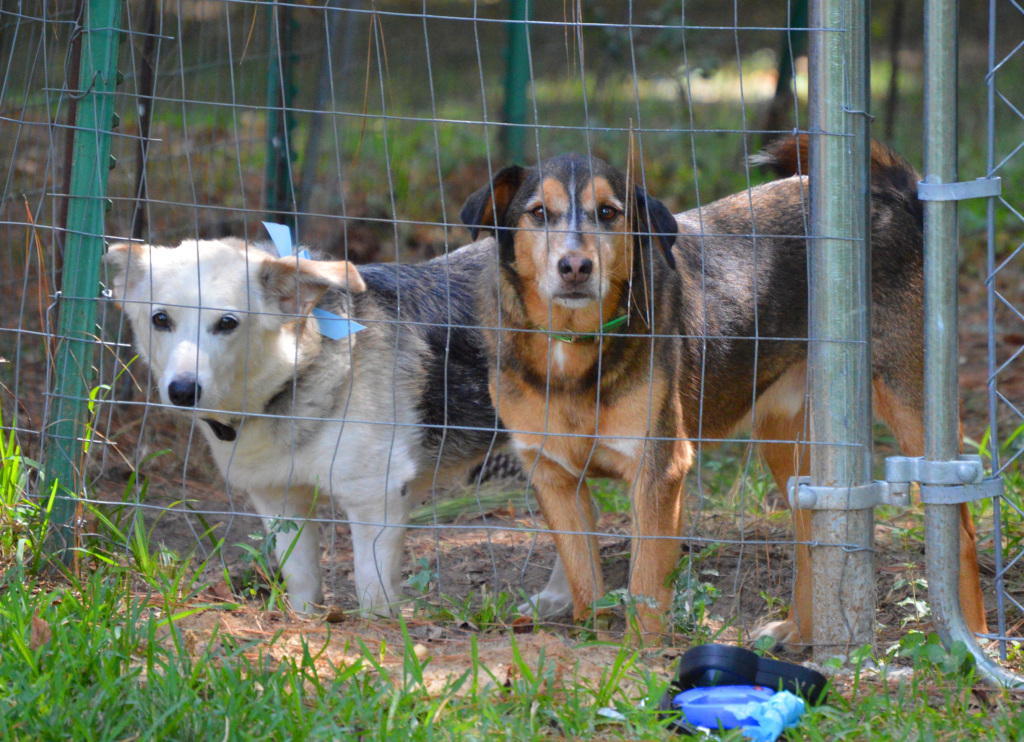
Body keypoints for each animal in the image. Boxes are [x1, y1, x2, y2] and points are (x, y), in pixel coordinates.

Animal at [460, 137, 987, 642]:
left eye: (608, 213)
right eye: (538, 213)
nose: (575, 267)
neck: (574, 352)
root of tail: (890, 195)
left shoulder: (659, 470)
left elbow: (646, 589)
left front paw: (638, 659)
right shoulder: (555, 478)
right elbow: (586, 585)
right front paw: (596, 647)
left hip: (910, 401)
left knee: (960, 526)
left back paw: (973, 638)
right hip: (784, 436)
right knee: (810, 535)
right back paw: (799, 634)